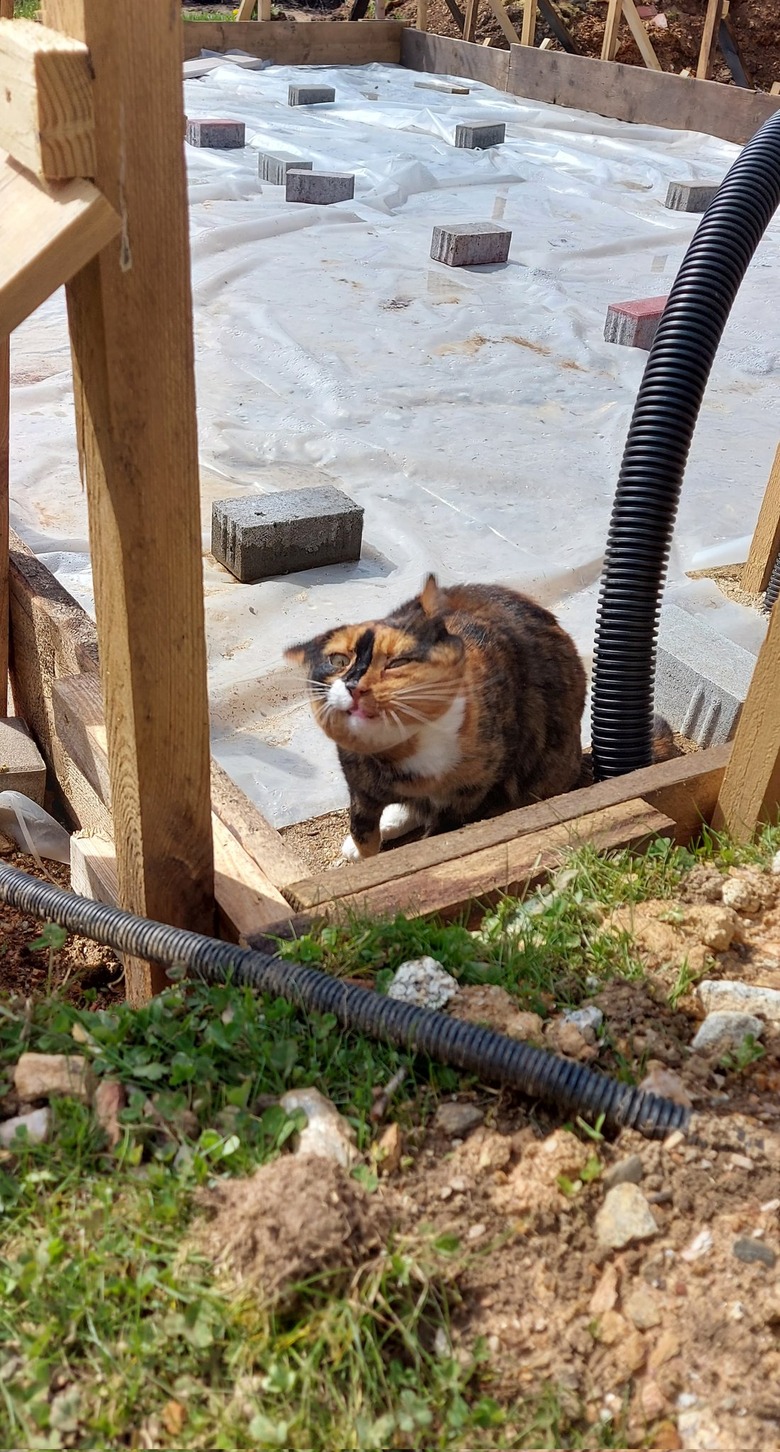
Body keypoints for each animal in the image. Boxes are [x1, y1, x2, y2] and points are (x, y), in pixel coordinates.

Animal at [284, 572, 583, 853]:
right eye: (338, 661)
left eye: (398, 662)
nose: (353, 685)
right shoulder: (359, 786)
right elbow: (363, 834)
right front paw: (363, 850)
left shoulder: (474, 796)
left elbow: (438, 836)